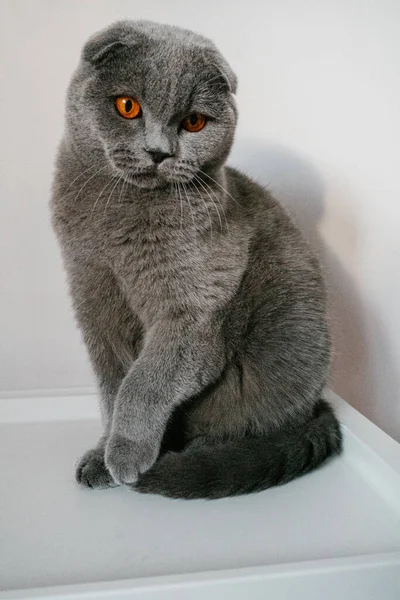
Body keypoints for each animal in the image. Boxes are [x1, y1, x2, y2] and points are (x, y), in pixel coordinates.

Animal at [50, 18, 340, 500]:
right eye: (127, 106)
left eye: (194, 122)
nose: (159, 152)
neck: (116, 231)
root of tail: (319, 405)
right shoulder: (93, 297)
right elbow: (112, 384)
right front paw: (102, 455)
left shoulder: (193, 311)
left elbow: (142, 383)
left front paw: (125, 454)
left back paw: (195, 455)